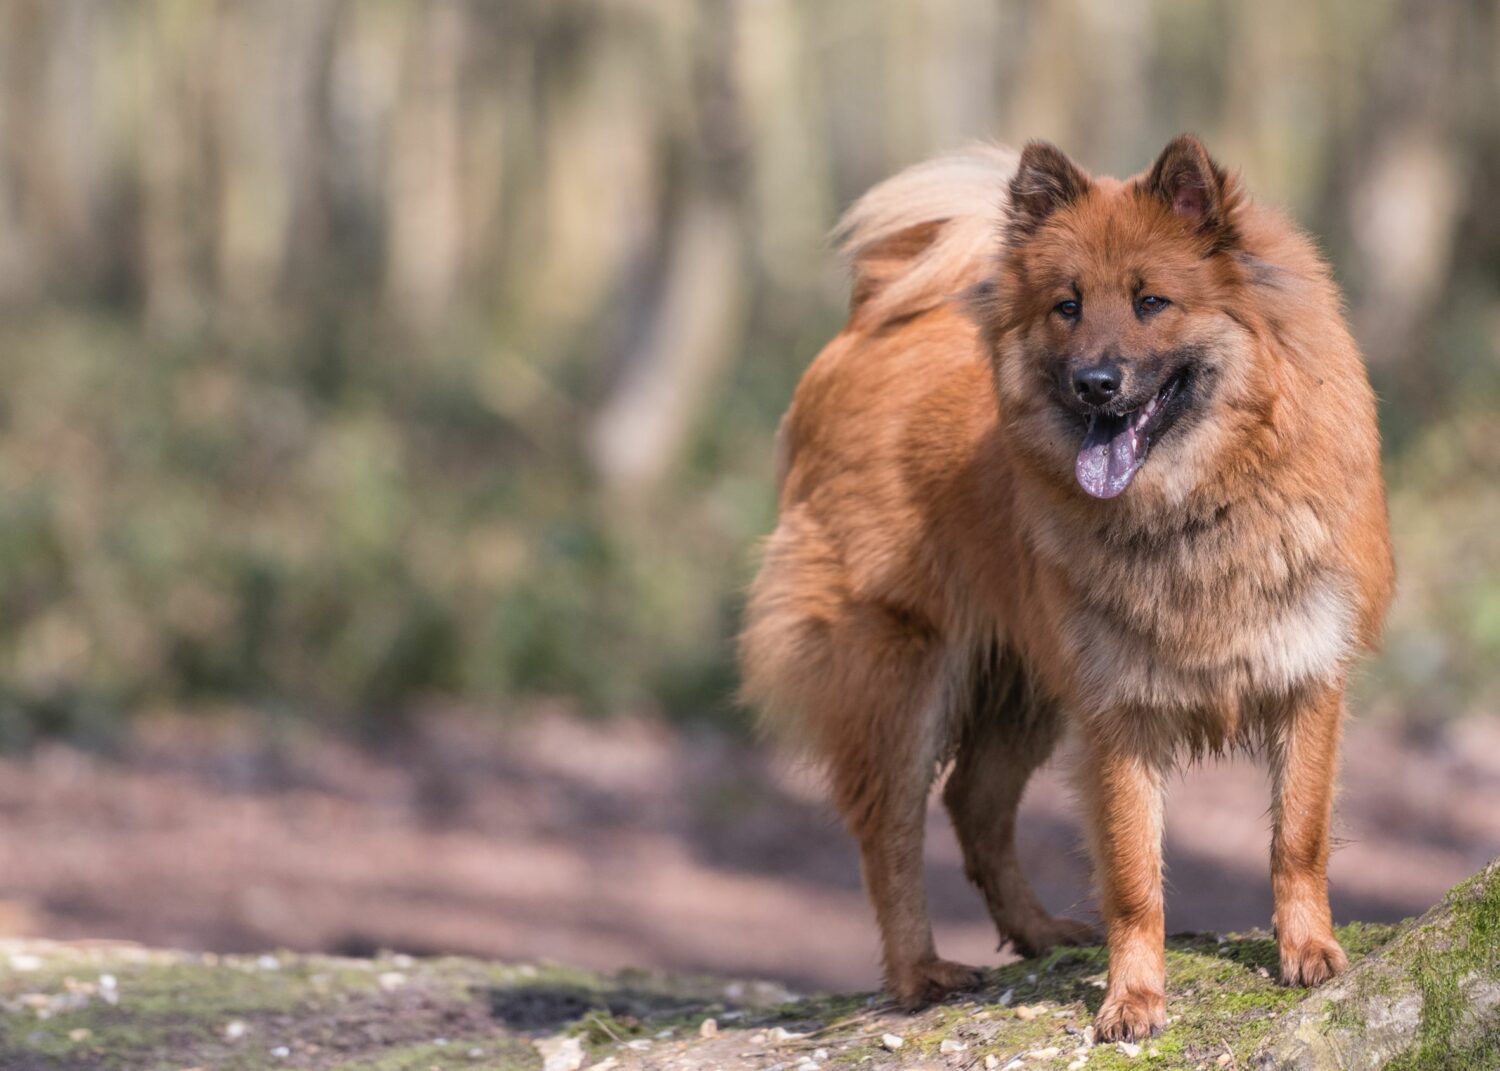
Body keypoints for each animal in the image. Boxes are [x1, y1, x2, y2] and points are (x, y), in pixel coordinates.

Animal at [738, 131, 1392, 1032]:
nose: (1095, 383)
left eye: (1151, 301)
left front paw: (1309, 950)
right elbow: (1134, 874)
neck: (1195, 506)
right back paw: (919, 971)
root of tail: (870, 326)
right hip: (902, 676)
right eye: (1067, 306)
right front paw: (1133, 998)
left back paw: (1038, 929)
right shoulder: (1117, 713)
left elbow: (1297, 836)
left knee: (973, 803)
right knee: (891, 833)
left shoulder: (1305, 676)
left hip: (1021, 687)